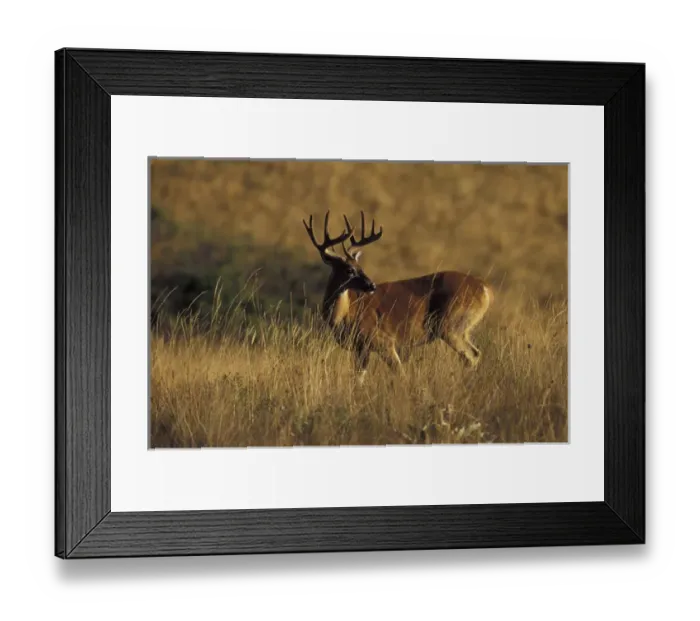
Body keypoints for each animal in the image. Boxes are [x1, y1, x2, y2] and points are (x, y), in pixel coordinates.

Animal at [302, 210, 494, 382]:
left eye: (360, 267)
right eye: (349, 270)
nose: (371, 285)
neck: (344, 315)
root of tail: (484, 288)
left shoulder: (382, 340)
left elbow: (400, 372)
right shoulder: (361, 349)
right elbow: (358, 379)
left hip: (450, 325)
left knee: (471, 355)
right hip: (461, 329)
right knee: (476, 353)